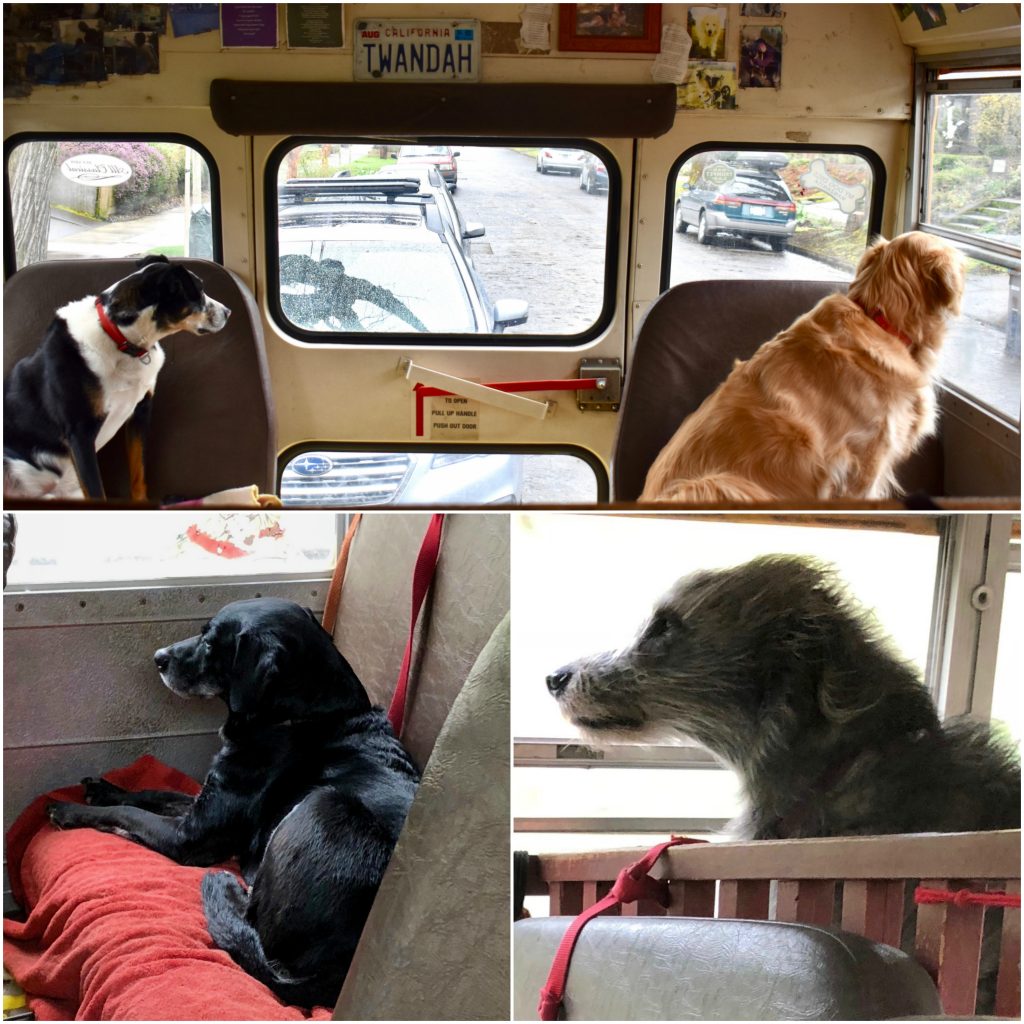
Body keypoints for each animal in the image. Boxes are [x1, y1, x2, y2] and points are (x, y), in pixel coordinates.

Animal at [4, 258, 230, 501]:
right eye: (199, 291)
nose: (228, 312)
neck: (121, 340)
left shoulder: (140, 411)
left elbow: (139, 472)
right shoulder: (79, 431)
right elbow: (96, 492)